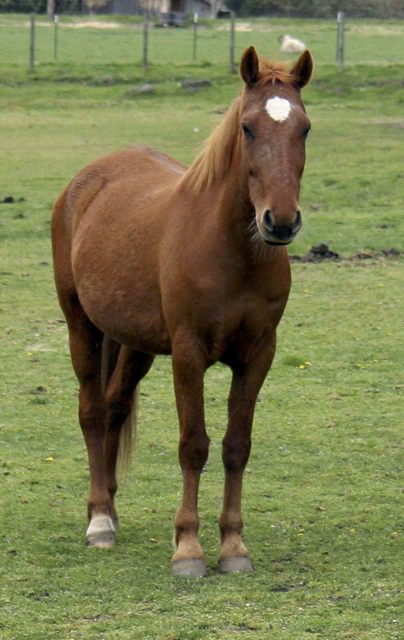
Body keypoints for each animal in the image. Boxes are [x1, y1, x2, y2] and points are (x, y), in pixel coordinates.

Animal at [51, 46, 313, 577]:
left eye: (305, 128)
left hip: (134, 341)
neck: (232, 251)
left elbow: (237, 446)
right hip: (81, 326)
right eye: (247, 128)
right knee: (92, 411)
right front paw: (188, 548)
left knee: (114, 406)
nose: (280, 221)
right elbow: (193, 445)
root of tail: (87, 181)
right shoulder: (189, 353)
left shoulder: (258, 356)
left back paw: (110, 508)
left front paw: (233, 545)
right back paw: (99, 521)